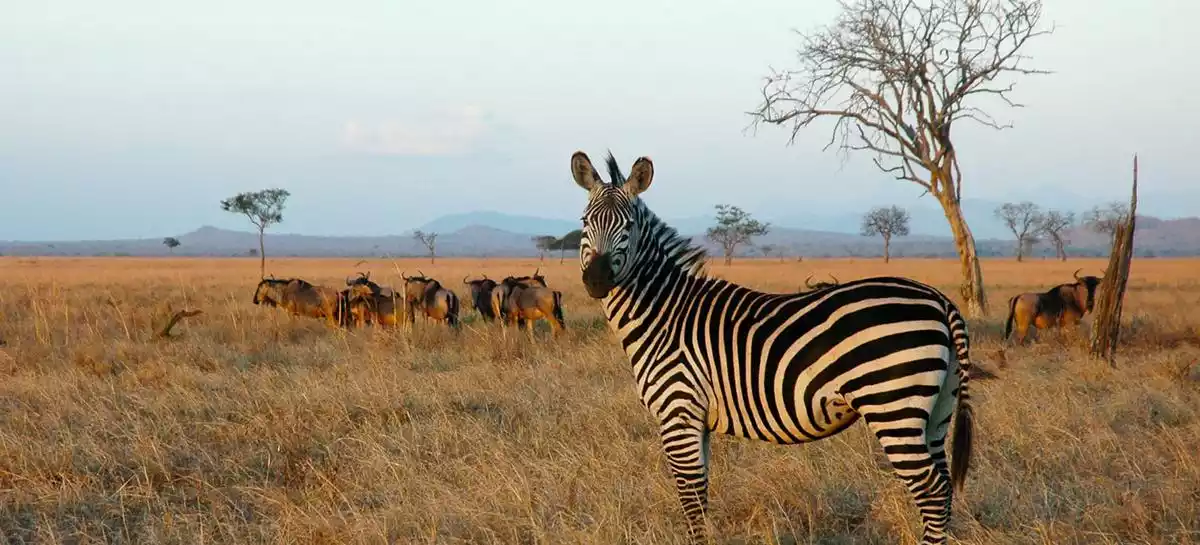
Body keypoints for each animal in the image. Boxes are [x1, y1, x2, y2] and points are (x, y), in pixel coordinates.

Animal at [568, 150, 974, 545]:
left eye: (629, 226)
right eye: (585, 221)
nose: (596, 280)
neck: (665, 312)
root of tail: (940, 300)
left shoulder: (678, 411)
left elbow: (690, 499)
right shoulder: (696, 420)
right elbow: (701, 494)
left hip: (893, 406)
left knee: (932, 492)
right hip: (937, 409)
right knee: (943, 488)